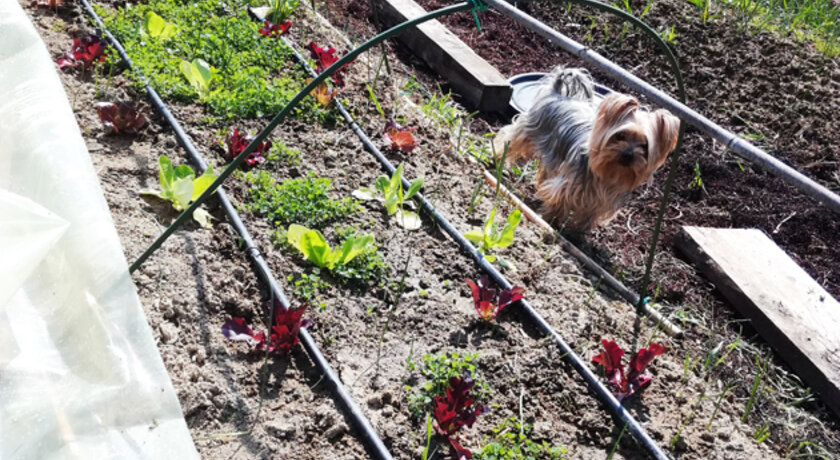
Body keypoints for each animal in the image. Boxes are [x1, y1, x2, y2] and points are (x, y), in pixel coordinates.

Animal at [496, 66, 680, 232]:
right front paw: (551, 220)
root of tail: (557, 93)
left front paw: (578, 234)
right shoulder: (568, 186)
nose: (628, 155)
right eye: (620, 136)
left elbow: (588, 217)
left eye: (645, 146)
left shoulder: (601, 202)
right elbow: (559, 200)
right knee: (510, 139)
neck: (607, 175)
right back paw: (498, 160)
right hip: (528, 131)